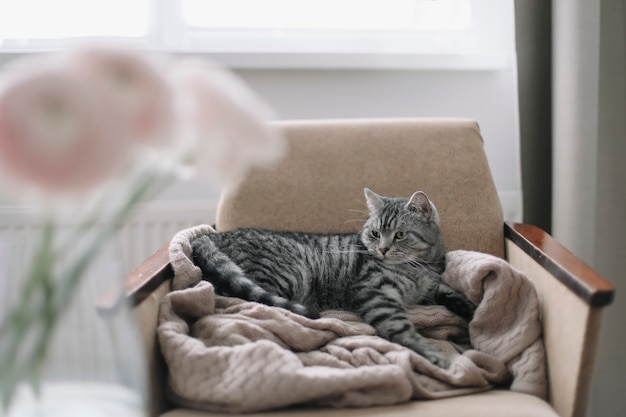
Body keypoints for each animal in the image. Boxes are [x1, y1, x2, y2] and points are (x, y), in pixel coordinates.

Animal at [190, 187, 472, 366]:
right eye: (375, 233)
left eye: (400, 235)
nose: (382, 249)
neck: (421, 268)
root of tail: (210, 236)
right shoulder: (376, 291)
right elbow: (400, 326)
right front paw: (428, 352)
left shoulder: (429, 291)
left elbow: (449, 292)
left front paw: (469, 308)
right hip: (286, 273)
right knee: (246, 301)